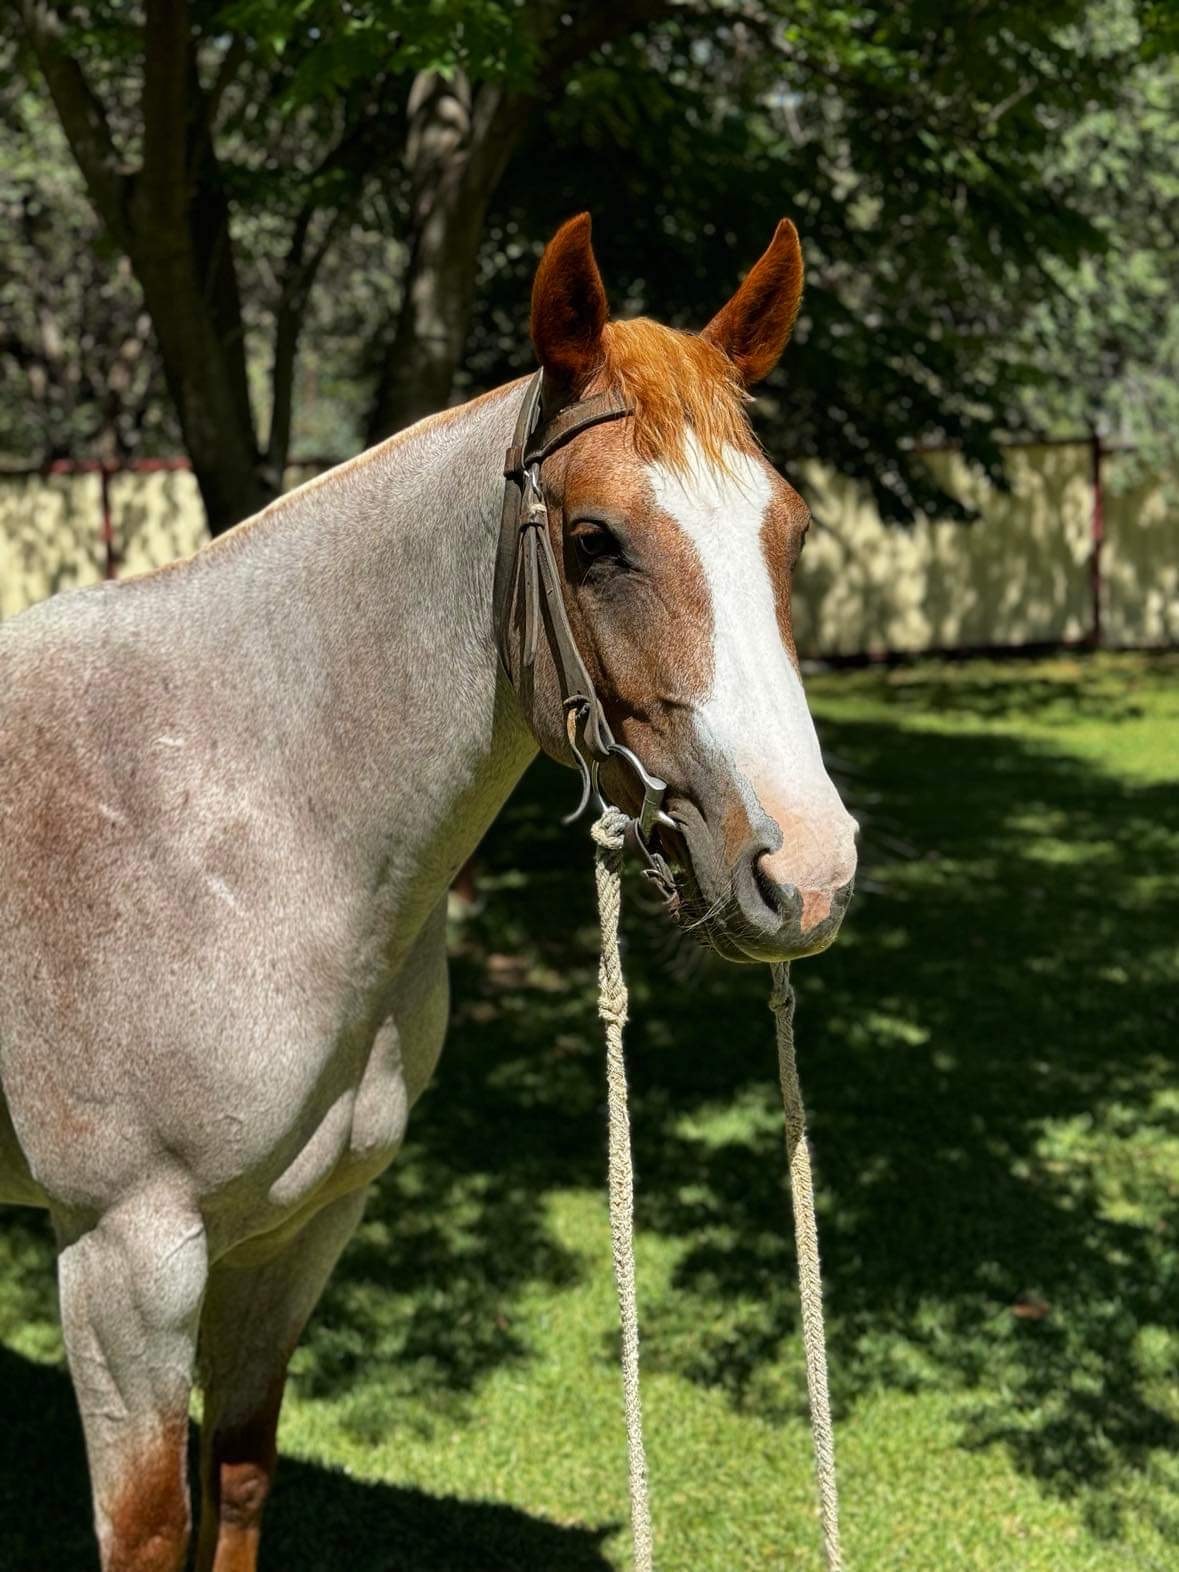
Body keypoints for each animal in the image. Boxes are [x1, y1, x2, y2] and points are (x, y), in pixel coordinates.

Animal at [0, 213, 857, 1572]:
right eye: (594, 542)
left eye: (794, 530)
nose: (808, 872)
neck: (233, 825)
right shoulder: (125, 1261)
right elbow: (151, 1528)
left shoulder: (302, 1227)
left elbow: (239, 1472)